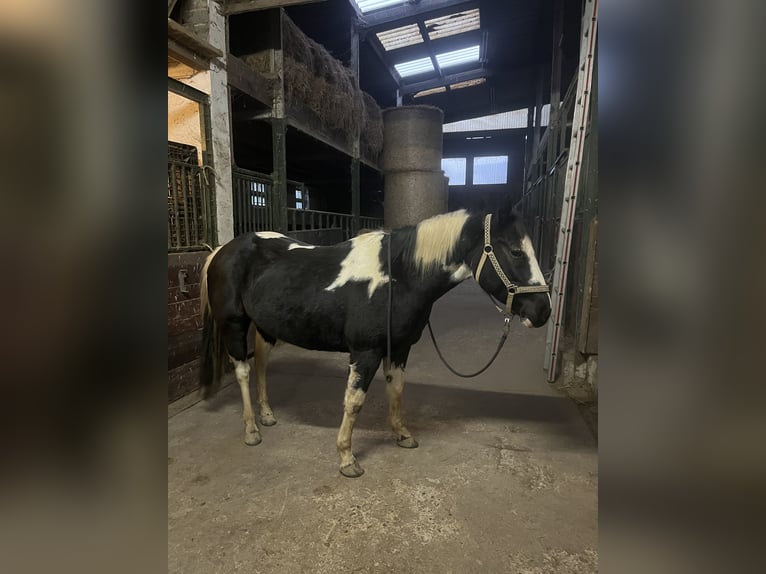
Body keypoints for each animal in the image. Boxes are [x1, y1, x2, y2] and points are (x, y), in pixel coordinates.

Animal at [198, 206, 551, 478]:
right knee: (243, 371)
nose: (543, 311)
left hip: (266, 327)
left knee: (260, 363)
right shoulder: (365, 352)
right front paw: (347, 458)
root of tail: (222, 250)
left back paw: (268, 415)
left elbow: (397, 389)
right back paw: (251, 430)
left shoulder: (399, 348)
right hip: (234, 325)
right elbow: (354, 401)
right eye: (516, 251)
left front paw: (403, 435)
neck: (399, 277)